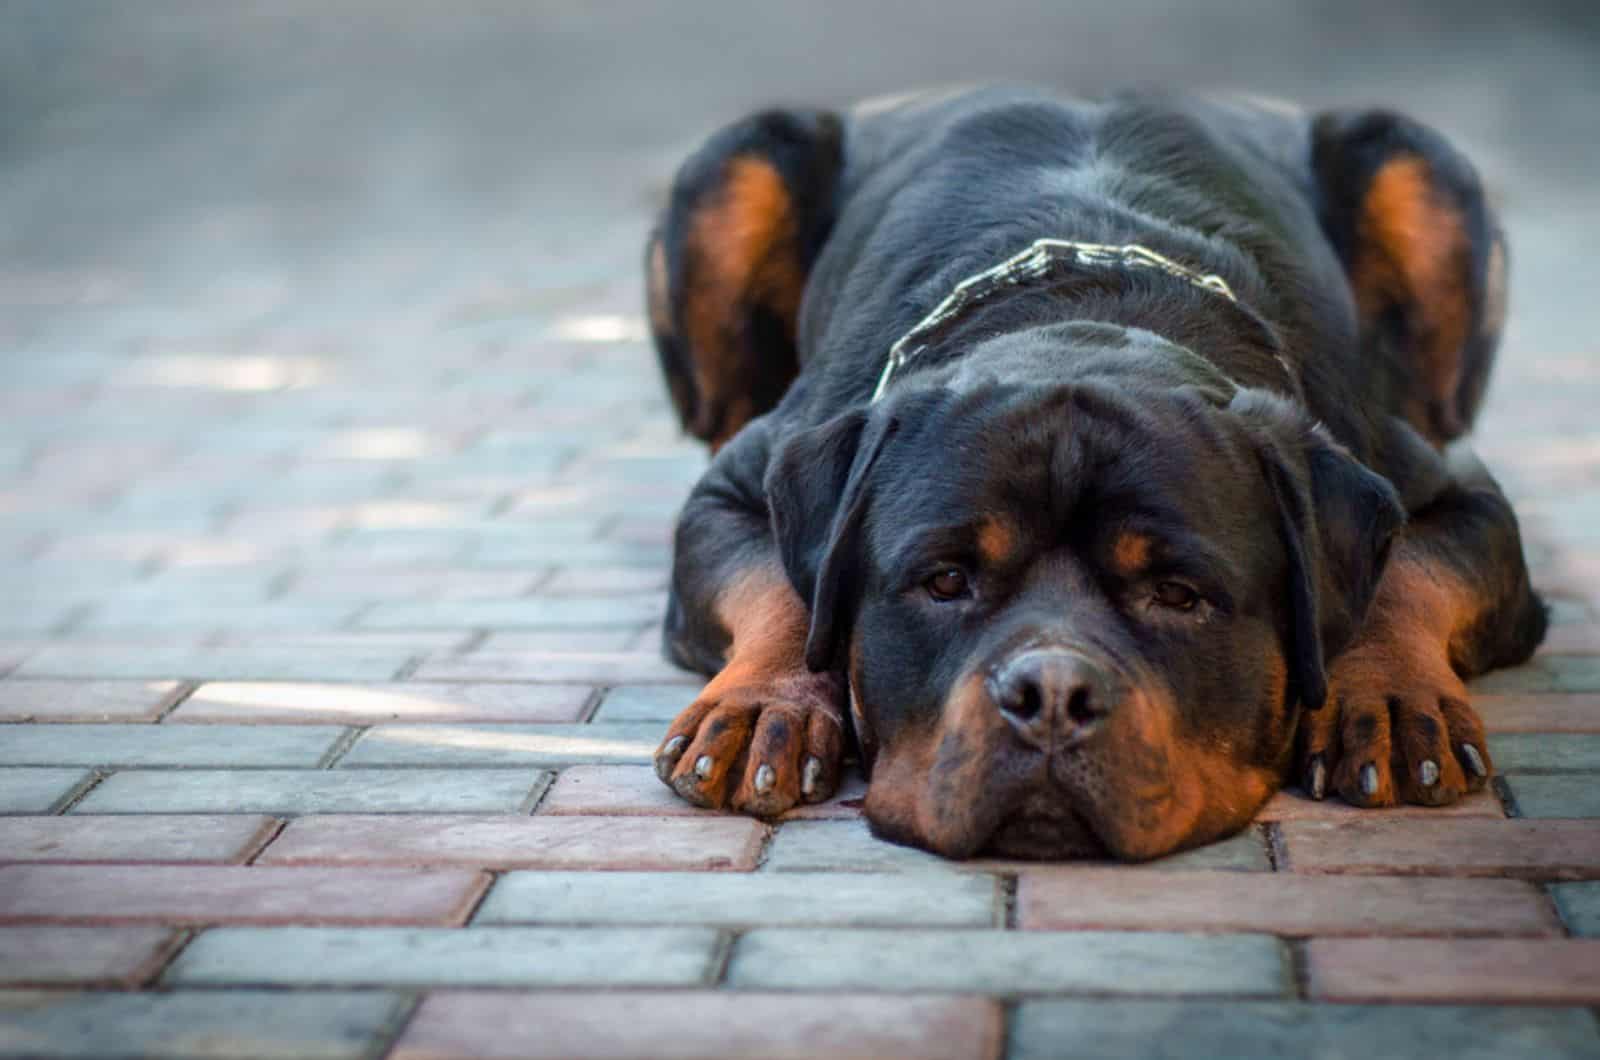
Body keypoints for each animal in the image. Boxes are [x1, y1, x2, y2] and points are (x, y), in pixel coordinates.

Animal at [643, 85, 1542, 864]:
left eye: (1178, 594)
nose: (1050, 694)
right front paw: (767, 703)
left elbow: (1408, 573)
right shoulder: (742, 480)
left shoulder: (1448, 487)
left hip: (1415, 167)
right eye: (945, 581)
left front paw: (1386, 697)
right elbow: (784, 585)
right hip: (736, 167)